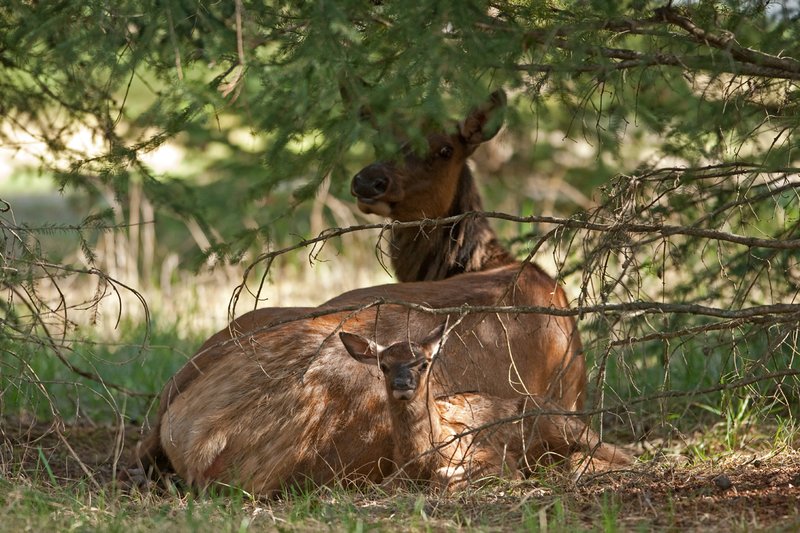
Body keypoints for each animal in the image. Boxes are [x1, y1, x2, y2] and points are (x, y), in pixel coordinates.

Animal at [340, 325, 631, 492]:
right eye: (384, 366)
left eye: (423, 363)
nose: (402, 384)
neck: (423, 453)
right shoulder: (397, 470)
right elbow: (381, 486)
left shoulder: (487, 454)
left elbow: (445, 477)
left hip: (562, 424)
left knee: (620, 455)